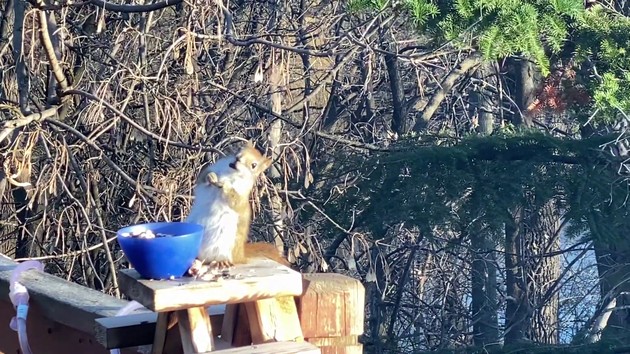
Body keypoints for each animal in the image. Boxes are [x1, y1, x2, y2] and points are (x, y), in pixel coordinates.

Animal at [185, 141, 288, 276]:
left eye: (254, 165)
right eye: (239, 150)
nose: (238, 159)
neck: (231, 173)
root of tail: (240, 255)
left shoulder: (242, 194)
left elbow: (235, 200)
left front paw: (226, 185)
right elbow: (202, 178)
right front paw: (210, 176)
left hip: (225, 245)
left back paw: (221, 262)